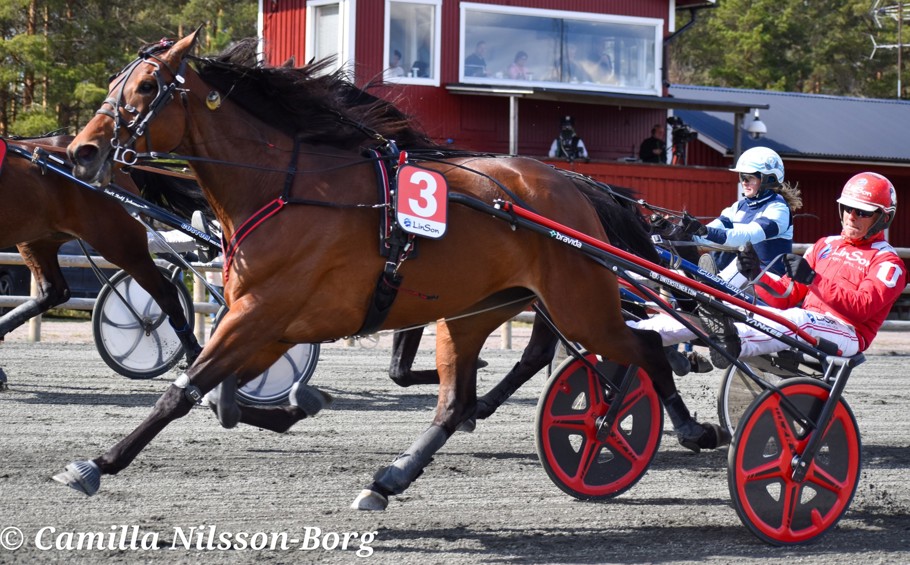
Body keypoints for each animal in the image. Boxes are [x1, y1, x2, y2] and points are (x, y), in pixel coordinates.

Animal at [63, 31, 726, 510]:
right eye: (117, 82)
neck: (286, 190)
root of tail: (574, 186)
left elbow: (183, 391)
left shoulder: (262, 313)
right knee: (457, 402)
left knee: (643, 348)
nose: (82, 151)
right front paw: (299, 404)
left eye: (147, 86)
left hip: (579, 305)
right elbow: (219, 398)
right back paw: (391, 478)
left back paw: (689, 428)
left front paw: (96, 464)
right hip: (476, 312)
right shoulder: (266, 321)